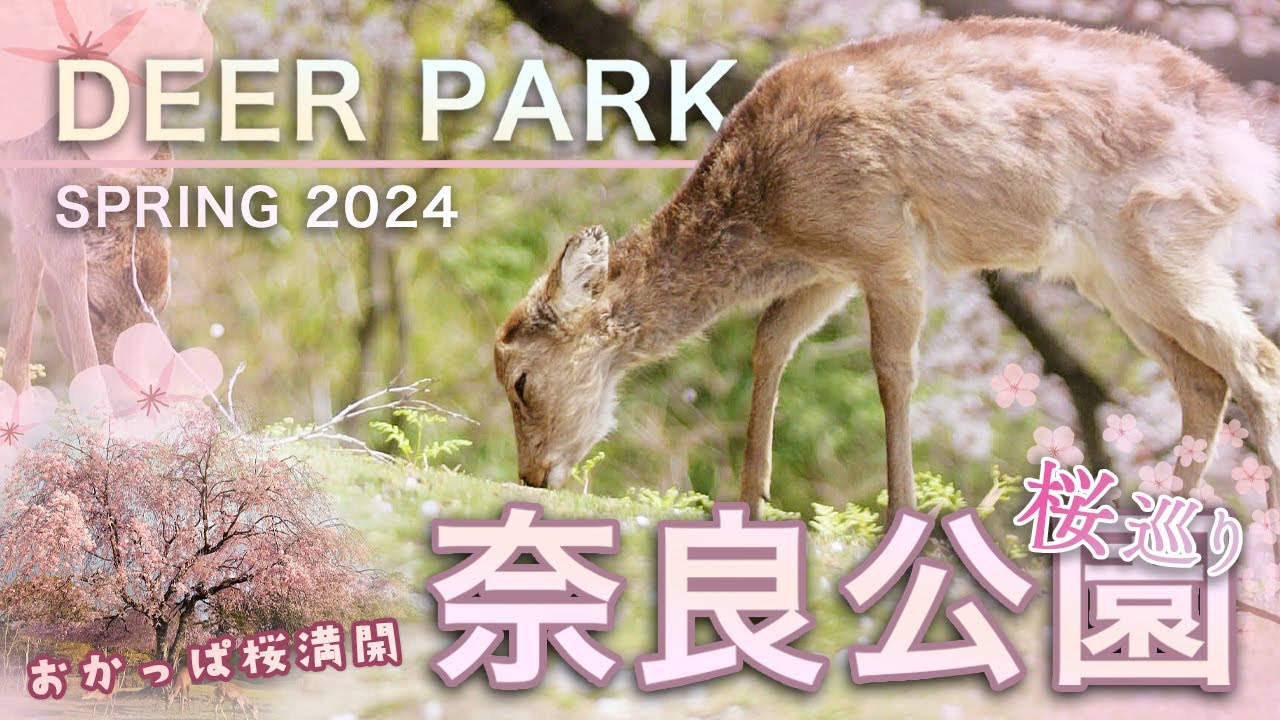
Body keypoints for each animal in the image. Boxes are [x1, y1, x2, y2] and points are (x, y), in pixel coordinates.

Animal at [495, 16, 1280, 523]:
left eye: (522, 381)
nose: (532, 475)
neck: (772, 218)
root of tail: (1244, 134)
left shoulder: (884, 240)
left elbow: (892, 370)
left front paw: (904, 515)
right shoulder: (831, 269)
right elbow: (770, 343)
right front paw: (751, 499)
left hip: (1158, 239)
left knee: (1255, 360)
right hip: (1112, 276)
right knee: (1204, 378)